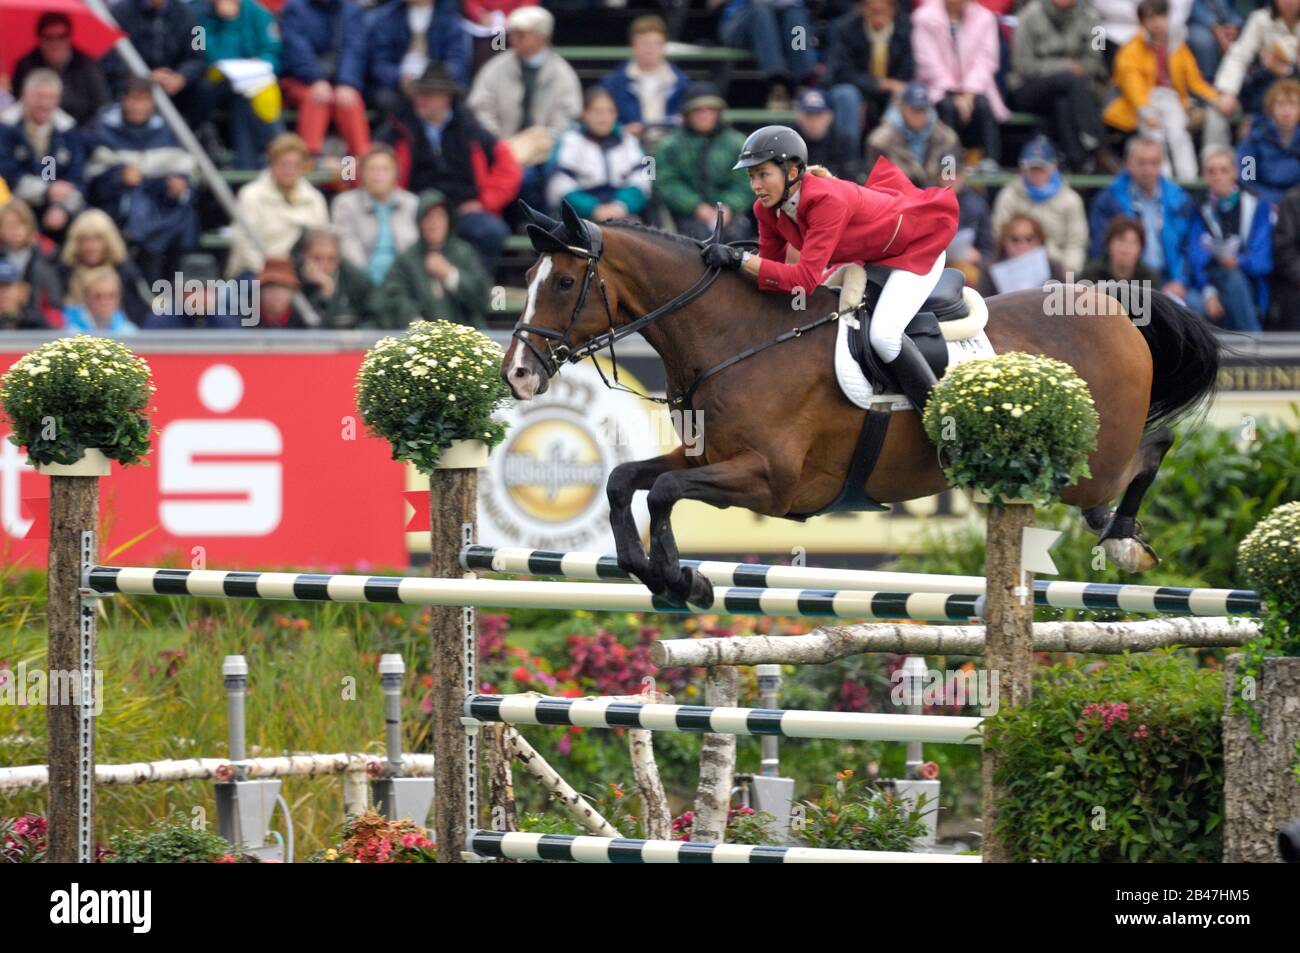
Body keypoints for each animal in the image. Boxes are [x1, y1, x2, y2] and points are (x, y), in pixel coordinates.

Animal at [499, 200, 1216, 605]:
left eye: (563, 282)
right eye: (528, 277)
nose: (517, 375)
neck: (738, 336)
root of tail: (1113, 306)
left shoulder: (771, 481)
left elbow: (666, 492)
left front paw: (683, 580)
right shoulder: (712, 455)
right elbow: (626, 480)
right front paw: (659, 575)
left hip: (1090, 458)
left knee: (1148, 451)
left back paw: (1123, 542)